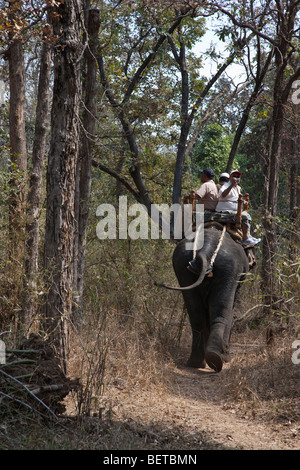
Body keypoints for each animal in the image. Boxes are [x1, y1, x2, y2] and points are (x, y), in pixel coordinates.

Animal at [159, 226, 248, 372]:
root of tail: (206, 246)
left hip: (182, 266)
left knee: (196, 313)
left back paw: (199, 362)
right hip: (230, 268)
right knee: (222, 310)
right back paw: (219, 359)